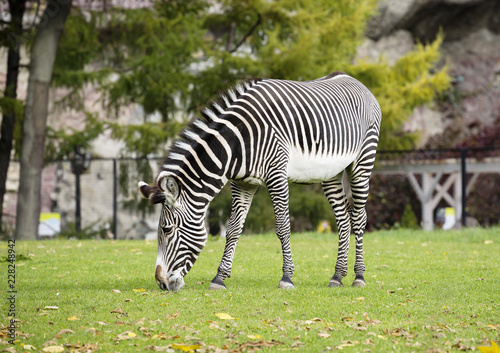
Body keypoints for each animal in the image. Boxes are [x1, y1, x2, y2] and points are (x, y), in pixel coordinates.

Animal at [139, 71, 380, 292]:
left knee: (359, 218)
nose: (161, 283)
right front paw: (219, 278)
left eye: (167, 230)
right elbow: (233, 229)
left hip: (362, 162)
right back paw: (337, 276)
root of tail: (356, 81)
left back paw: (359, 276)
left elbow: (283, 227)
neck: (238, 143)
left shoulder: (277, 175)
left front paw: (287, 278)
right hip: (331, 172)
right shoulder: (243, 183)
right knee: (343, 220)